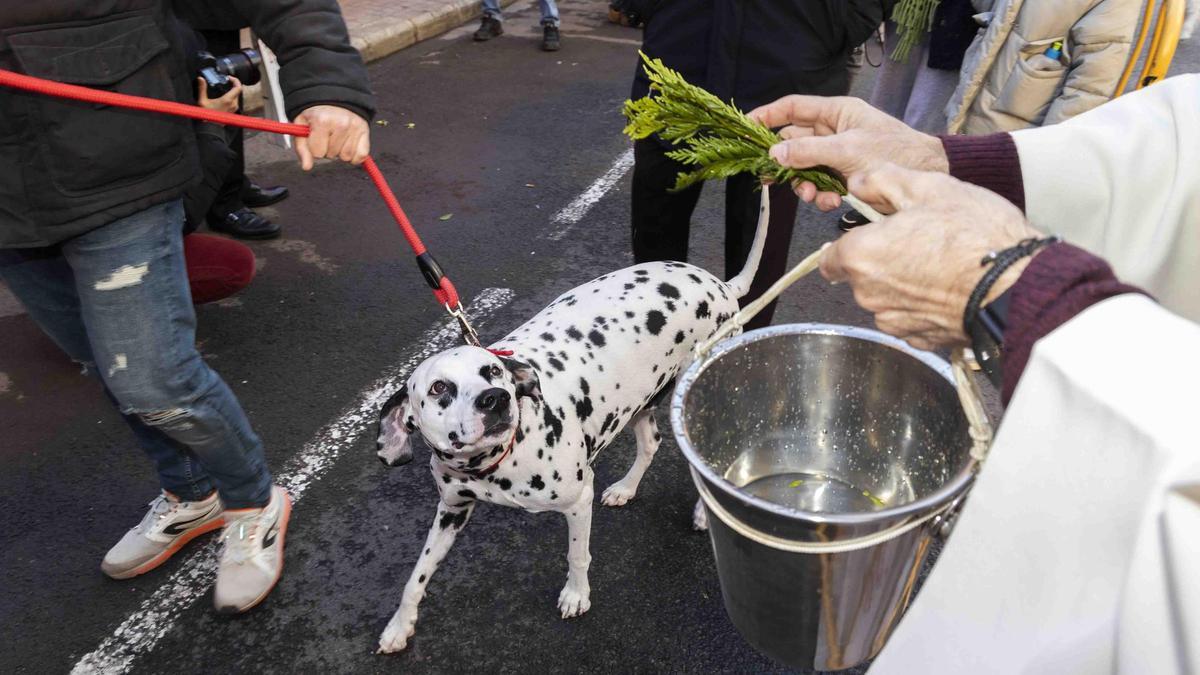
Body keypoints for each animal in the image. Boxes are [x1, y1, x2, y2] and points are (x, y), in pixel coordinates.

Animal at [369, 189, 772, 653]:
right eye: (438, 388)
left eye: (493, 371)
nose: (495, 399)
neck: (496, 461)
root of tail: (720, 284)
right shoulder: (451, 509)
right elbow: (415, 577)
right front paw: (400, 625)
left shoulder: (578, 499)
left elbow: (577, 554)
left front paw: (577, 594)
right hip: (638, 401)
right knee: (651, 442)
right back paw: (627, 487)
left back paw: (705, 513)